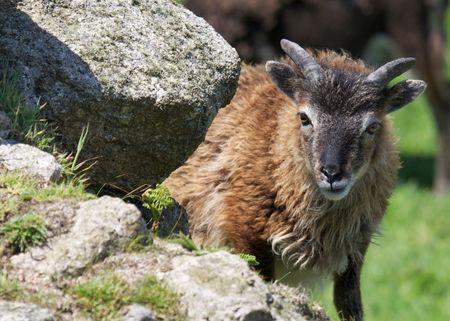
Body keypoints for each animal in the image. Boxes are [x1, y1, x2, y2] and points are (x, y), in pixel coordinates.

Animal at [163, 38, 428, 318]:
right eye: (304, 117)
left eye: (372, 126)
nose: (332, 173)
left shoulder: (355, 249)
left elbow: (349, 305)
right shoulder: (245, 233)